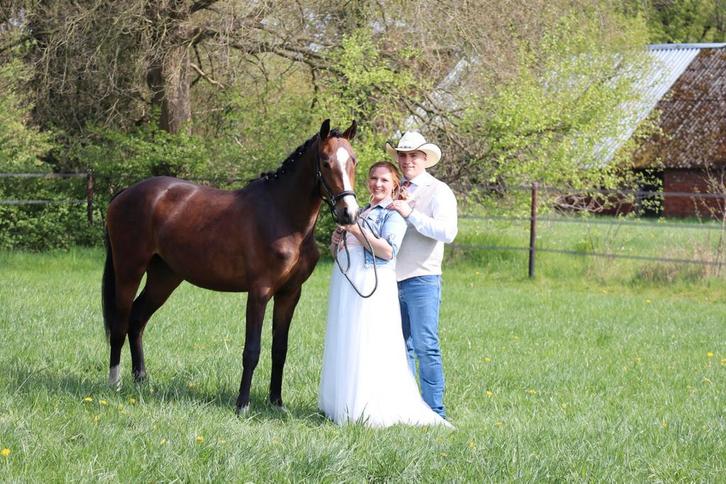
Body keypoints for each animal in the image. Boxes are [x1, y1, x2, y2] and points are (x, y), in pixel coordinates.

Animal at [102, 119, 359, 412]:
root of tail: (124, 194)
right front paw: (243, 404)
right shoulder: (259, 292)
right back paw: (115, 382)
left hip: (164, 277)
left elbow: (279, 349)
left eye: (353, 160)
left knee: (137, 319)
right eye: (326, 162)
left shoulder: (289, 294)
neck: (282, 215)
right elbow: (252, 350)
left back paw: (141, 379)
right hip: (129, 270)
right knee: (120, 322)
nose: (349, 212)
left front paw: (276, 402)